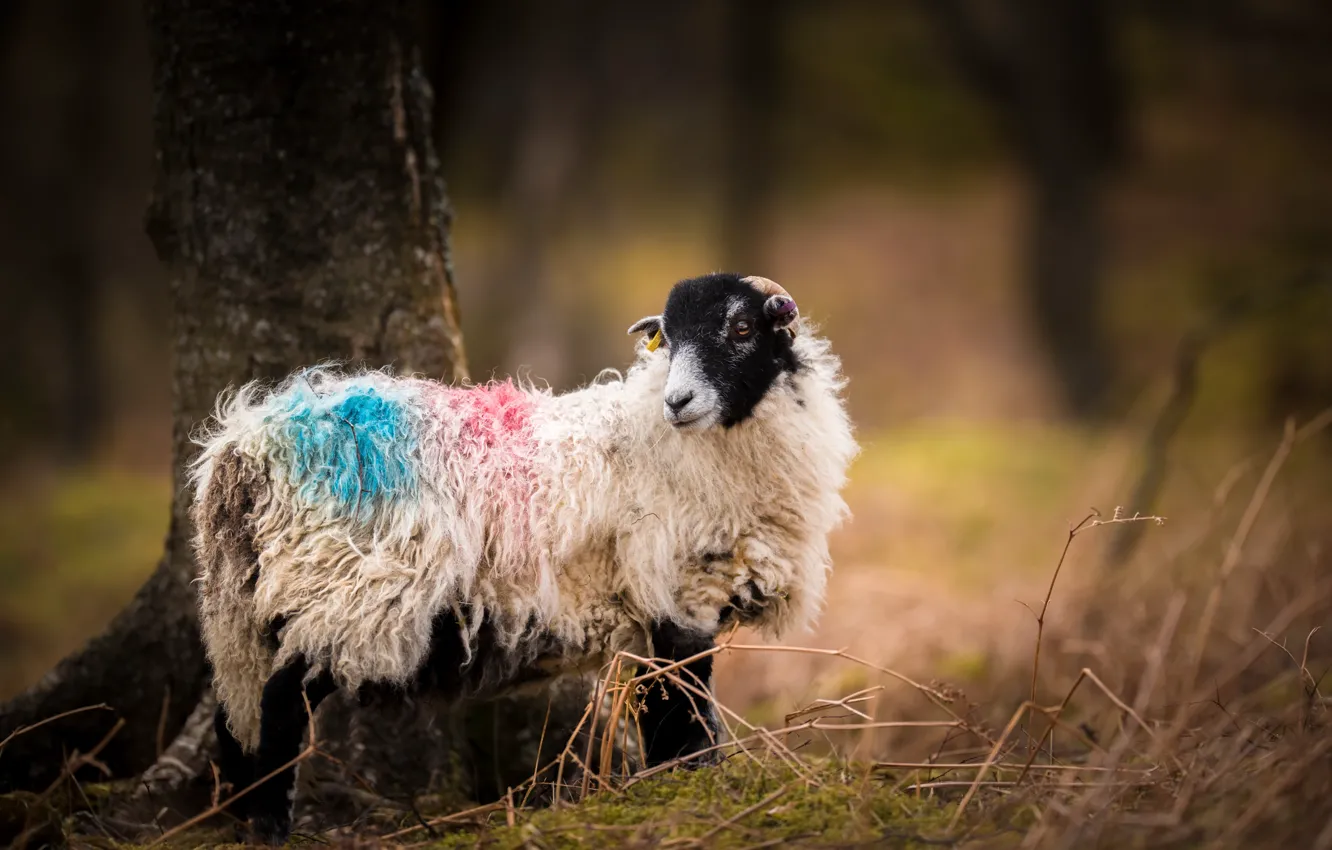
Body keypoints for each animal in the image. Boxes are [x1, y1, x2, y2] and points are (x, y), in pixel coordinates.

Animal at [190, 272, 857, 843]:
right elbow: (685, 709)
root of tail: (245, 447)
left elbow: (661, 708)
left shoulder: (651, 608)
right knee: (279, 704)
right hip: (345, 593)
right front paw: (695, 788)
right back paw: (269, 826)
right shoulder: (680, 592)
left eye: (741, 328)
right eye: (667, 338)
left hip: (258, 599)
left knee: (234, 707)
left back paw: (237, 817)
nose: (678, 400)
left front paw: (671, 786)